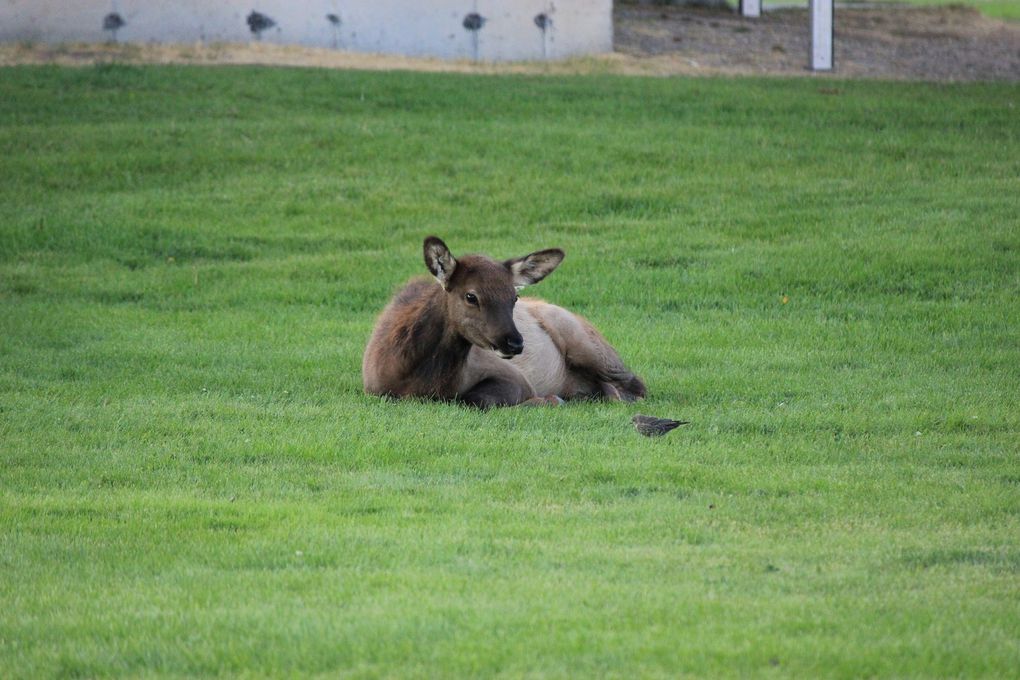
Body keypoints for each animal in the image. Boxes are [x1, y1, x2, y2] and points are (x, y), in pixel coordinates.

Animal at [361, 236, 644, 407]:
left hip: (585, 343)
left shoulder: (514, 377)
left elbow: (475, 399)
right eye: (471, 296)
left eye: (514, 296)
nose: (515, 343)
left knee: (635, 385)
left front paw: (548, 400)